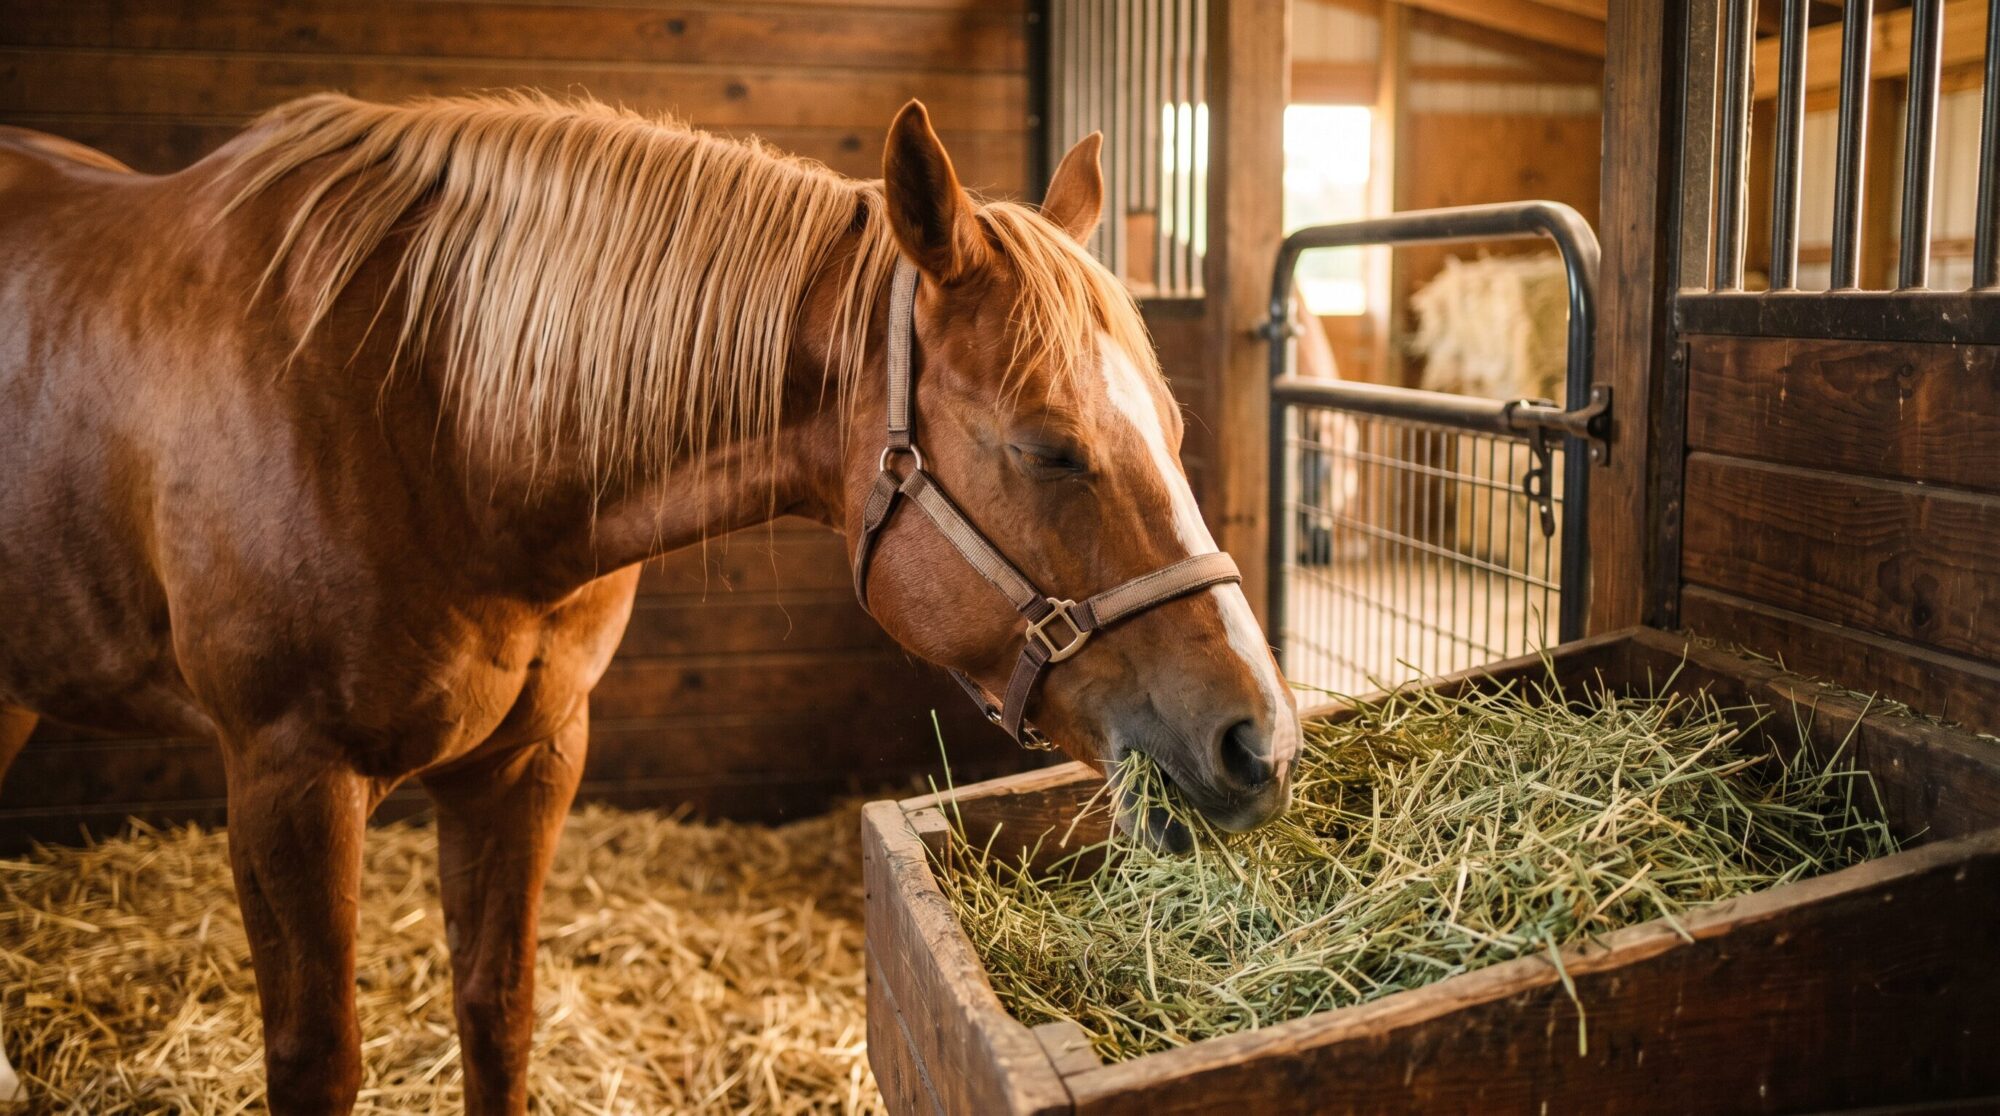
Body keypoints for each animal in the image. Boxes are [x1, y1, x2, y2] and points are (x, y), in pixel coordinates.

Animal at [0, 92, 1300, 1113]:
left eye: (1171, 428)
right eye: (1047, 448)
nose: (1259, 742)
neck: (424, 414)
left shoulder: (529, 759)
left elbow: (498, 1011)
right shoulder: (286, 785)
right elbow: (316, 1060)